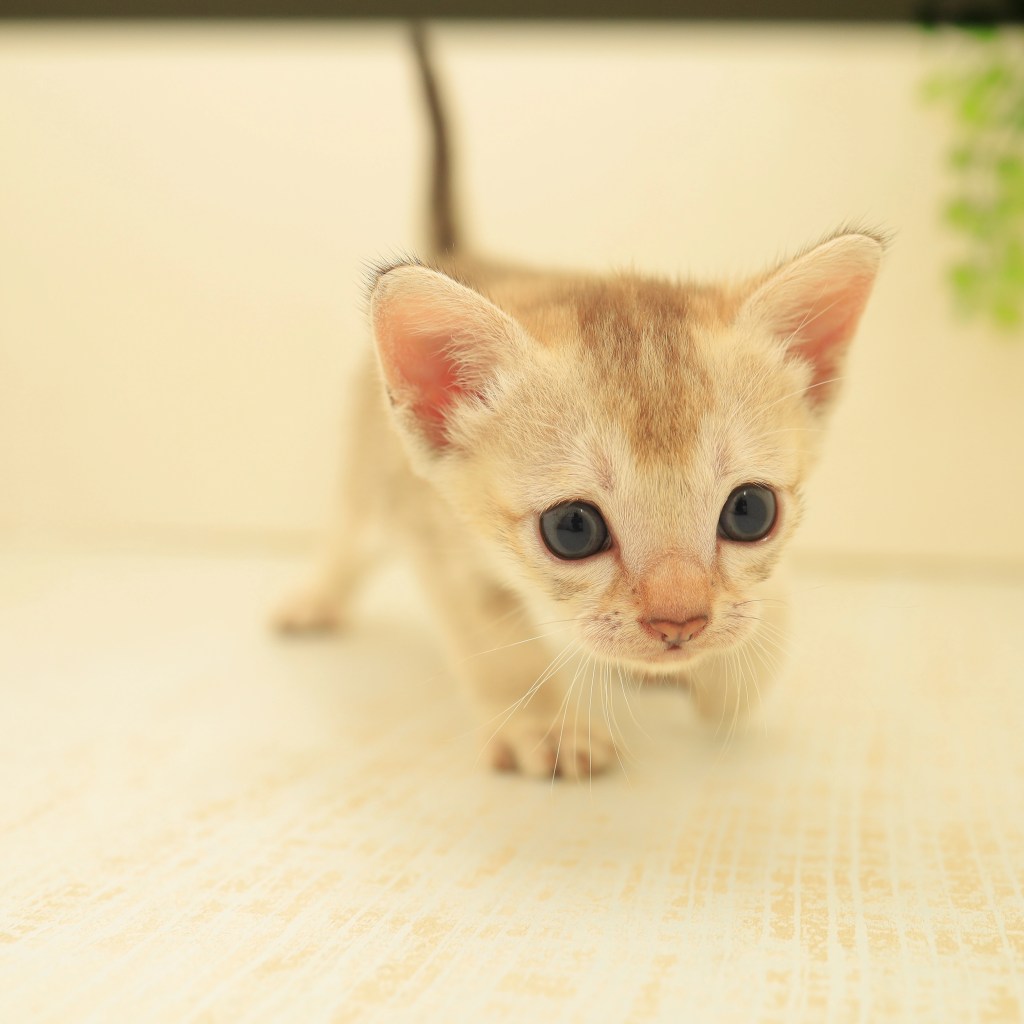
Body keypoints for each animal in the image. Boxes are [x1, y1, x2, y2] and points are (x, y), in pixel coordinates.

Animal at [276, 26, 885, 779]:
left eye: (750, 512)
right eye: (573, 529)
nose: (680, 623)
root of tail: (466, 252)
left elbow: (765, 622)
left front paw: (729, 676)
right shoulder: (433, 529)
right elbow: (494, 642)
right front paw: (546, 725)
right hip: (374, 470)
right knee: (349, 534)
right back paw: (315, 598)